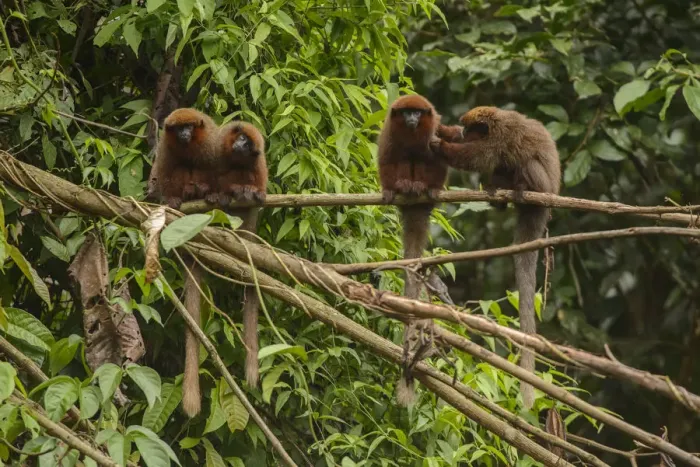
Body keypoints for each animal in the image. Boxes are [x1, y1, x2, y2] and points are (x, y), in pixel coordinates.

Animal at [430, 106, 561, 409]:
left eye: (472, 128)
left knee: (526, 163)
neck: (495, 122)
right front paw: (442, 130)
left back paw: (524, 189)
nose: (465, 132)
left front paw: (440, 146)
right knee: (505, 167)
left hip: (543, 187)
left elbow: (477, 156)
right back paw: (497, 194)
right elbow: (472, 150)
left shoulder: (501, 138)